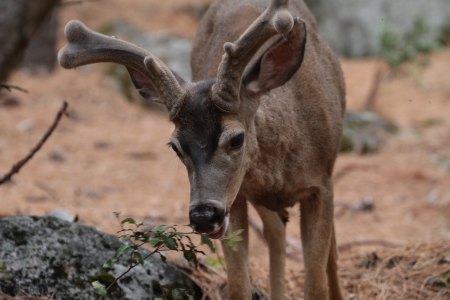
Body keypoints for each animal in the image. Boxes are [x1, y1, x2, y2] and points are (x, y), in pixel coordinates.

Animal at [57, 0, 344, 298]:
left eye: (237, 138)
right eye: (175, 146)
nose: (204, 216)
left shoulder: (322, 183)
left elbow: (317, 282)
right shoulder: (236, 196)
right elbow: (238, 285)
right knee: (275, 231)